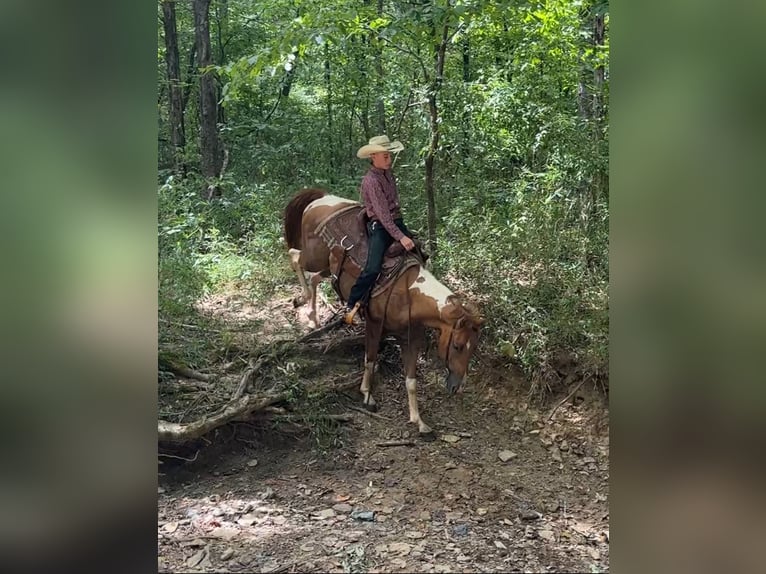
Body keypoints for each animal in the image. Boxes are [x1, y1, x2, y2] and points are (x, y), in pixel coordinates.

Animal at [283, 188, 483, 436]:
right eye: (456, 346)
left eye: (473, 347)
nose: (457, 387)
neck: (408, 292)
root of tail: (322, 198)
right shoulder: (374, 323)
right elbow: (370, 359)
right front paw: (367, 395)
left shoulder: (410, 338)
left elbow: (411, 381)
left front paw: (419, 421)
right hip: (314, 256)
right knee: (295, 257)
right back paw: (301, 299)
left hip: (328, 266)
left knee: (314, 278)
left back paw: (312, 317)